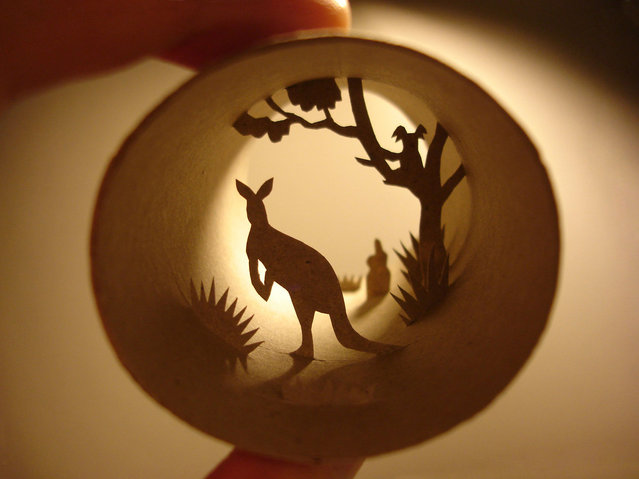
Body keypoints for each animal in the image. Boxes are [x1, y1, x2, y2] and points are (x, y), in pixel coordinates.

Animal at [236, 178, 400, 359]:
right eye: (249, 205)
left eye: (255, 205)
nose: (254, 217)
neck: (261, 226)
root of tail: (338, 305)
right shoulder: (253, 253)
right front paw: (263, 288)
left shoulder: (253, 253)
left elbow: (257, 273)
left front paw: (262, 288)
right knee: (307, 327)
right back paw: (300, 353)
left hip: (302, 297)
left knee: (305, 325)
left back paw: (299, 353)